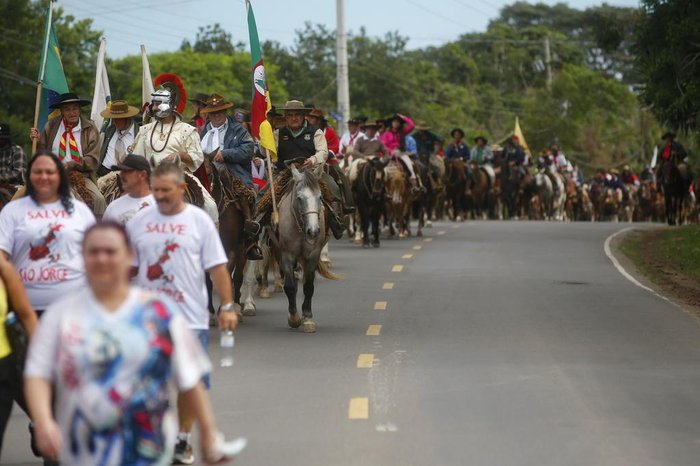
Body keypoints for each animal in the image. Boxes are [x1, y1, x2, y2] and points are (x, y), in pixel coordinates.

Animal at [274, 164, 338, 332]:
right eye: (299, 198)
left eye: (320, 197)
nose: (313, 231)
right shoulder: (287, 255)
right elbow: (289, 286)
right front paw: (294, 318)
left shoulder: (312, 255)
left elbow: (308, 286)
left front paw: (307, 318)